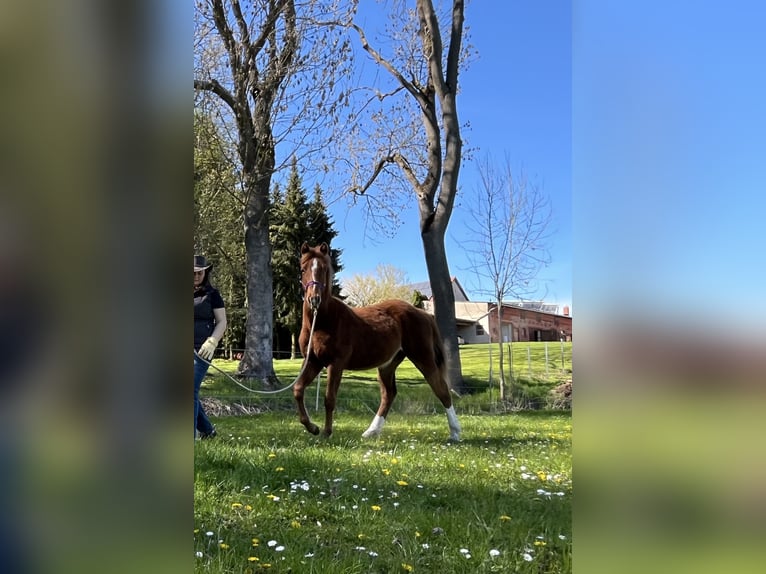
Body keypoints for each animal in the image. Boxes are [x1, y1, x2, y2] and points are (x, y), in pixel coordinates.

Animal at [294, 242, 461, 441]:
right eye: (303, 269)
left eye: (324, 269)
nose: (314, 299)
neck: (321, 322)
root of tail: (424, 314)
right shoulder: (313, 361)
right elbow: (298, 389)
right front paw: (312, 428)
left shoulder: (336, 364)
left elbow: (329, 398)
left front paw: (326, 432)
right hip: (388, 364)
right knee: (389, 394)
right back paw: (371, 431)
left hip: (423, 358)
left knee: (442, 390)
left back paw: (455, 433)